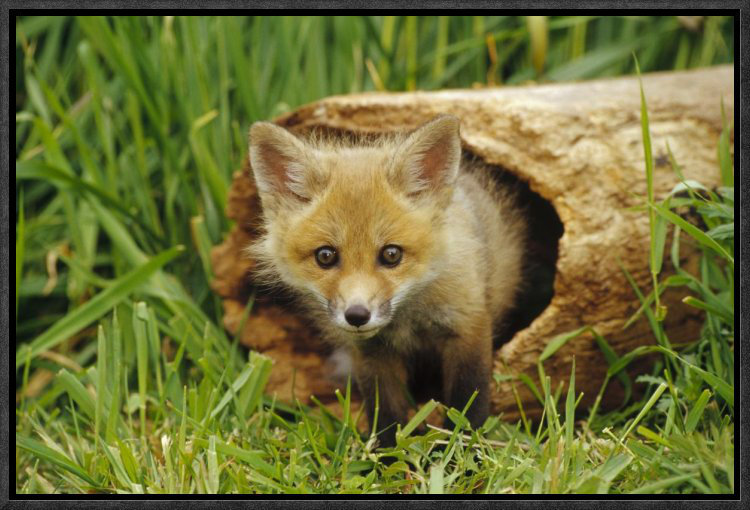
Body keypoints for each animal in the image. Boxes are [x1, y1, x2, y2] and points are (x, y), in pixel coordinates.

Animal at [247, 115, 526, 448]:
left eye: (391, 254)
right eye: (326, 256)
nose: (357, 315)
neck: (407, 320)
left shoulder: (468, 326)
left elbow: (467, 403)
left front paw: (461, 451)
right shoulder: (372, 353)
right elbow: (387, 414)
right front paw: (386, 455)